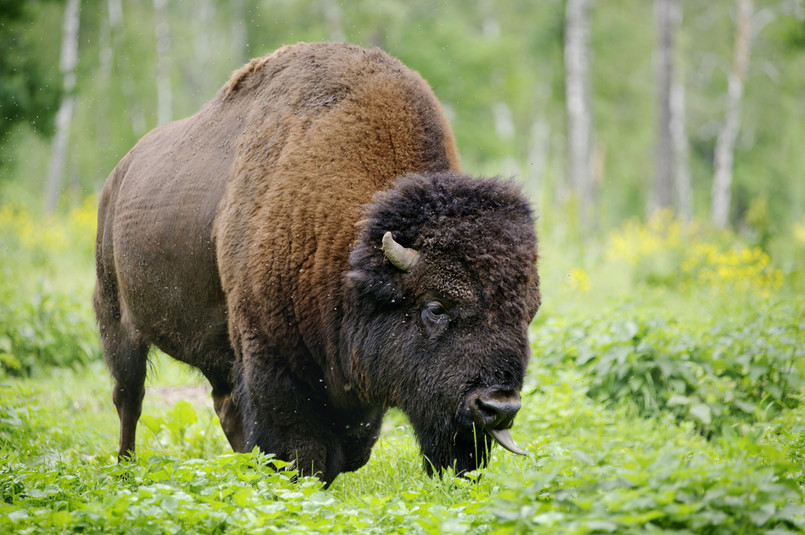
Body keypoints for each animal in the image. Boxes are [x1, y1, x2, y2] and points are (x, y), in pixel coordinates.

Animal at [97, 42, 544, 486]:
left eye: (528, 314)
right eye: (436, 307)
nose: (499, 406)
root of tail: (117, 176)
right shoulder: (272, 360)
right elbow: (300, 447)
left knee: (222, 406)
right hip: (116, 322)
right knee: (129, 398)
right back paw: (125, 468)